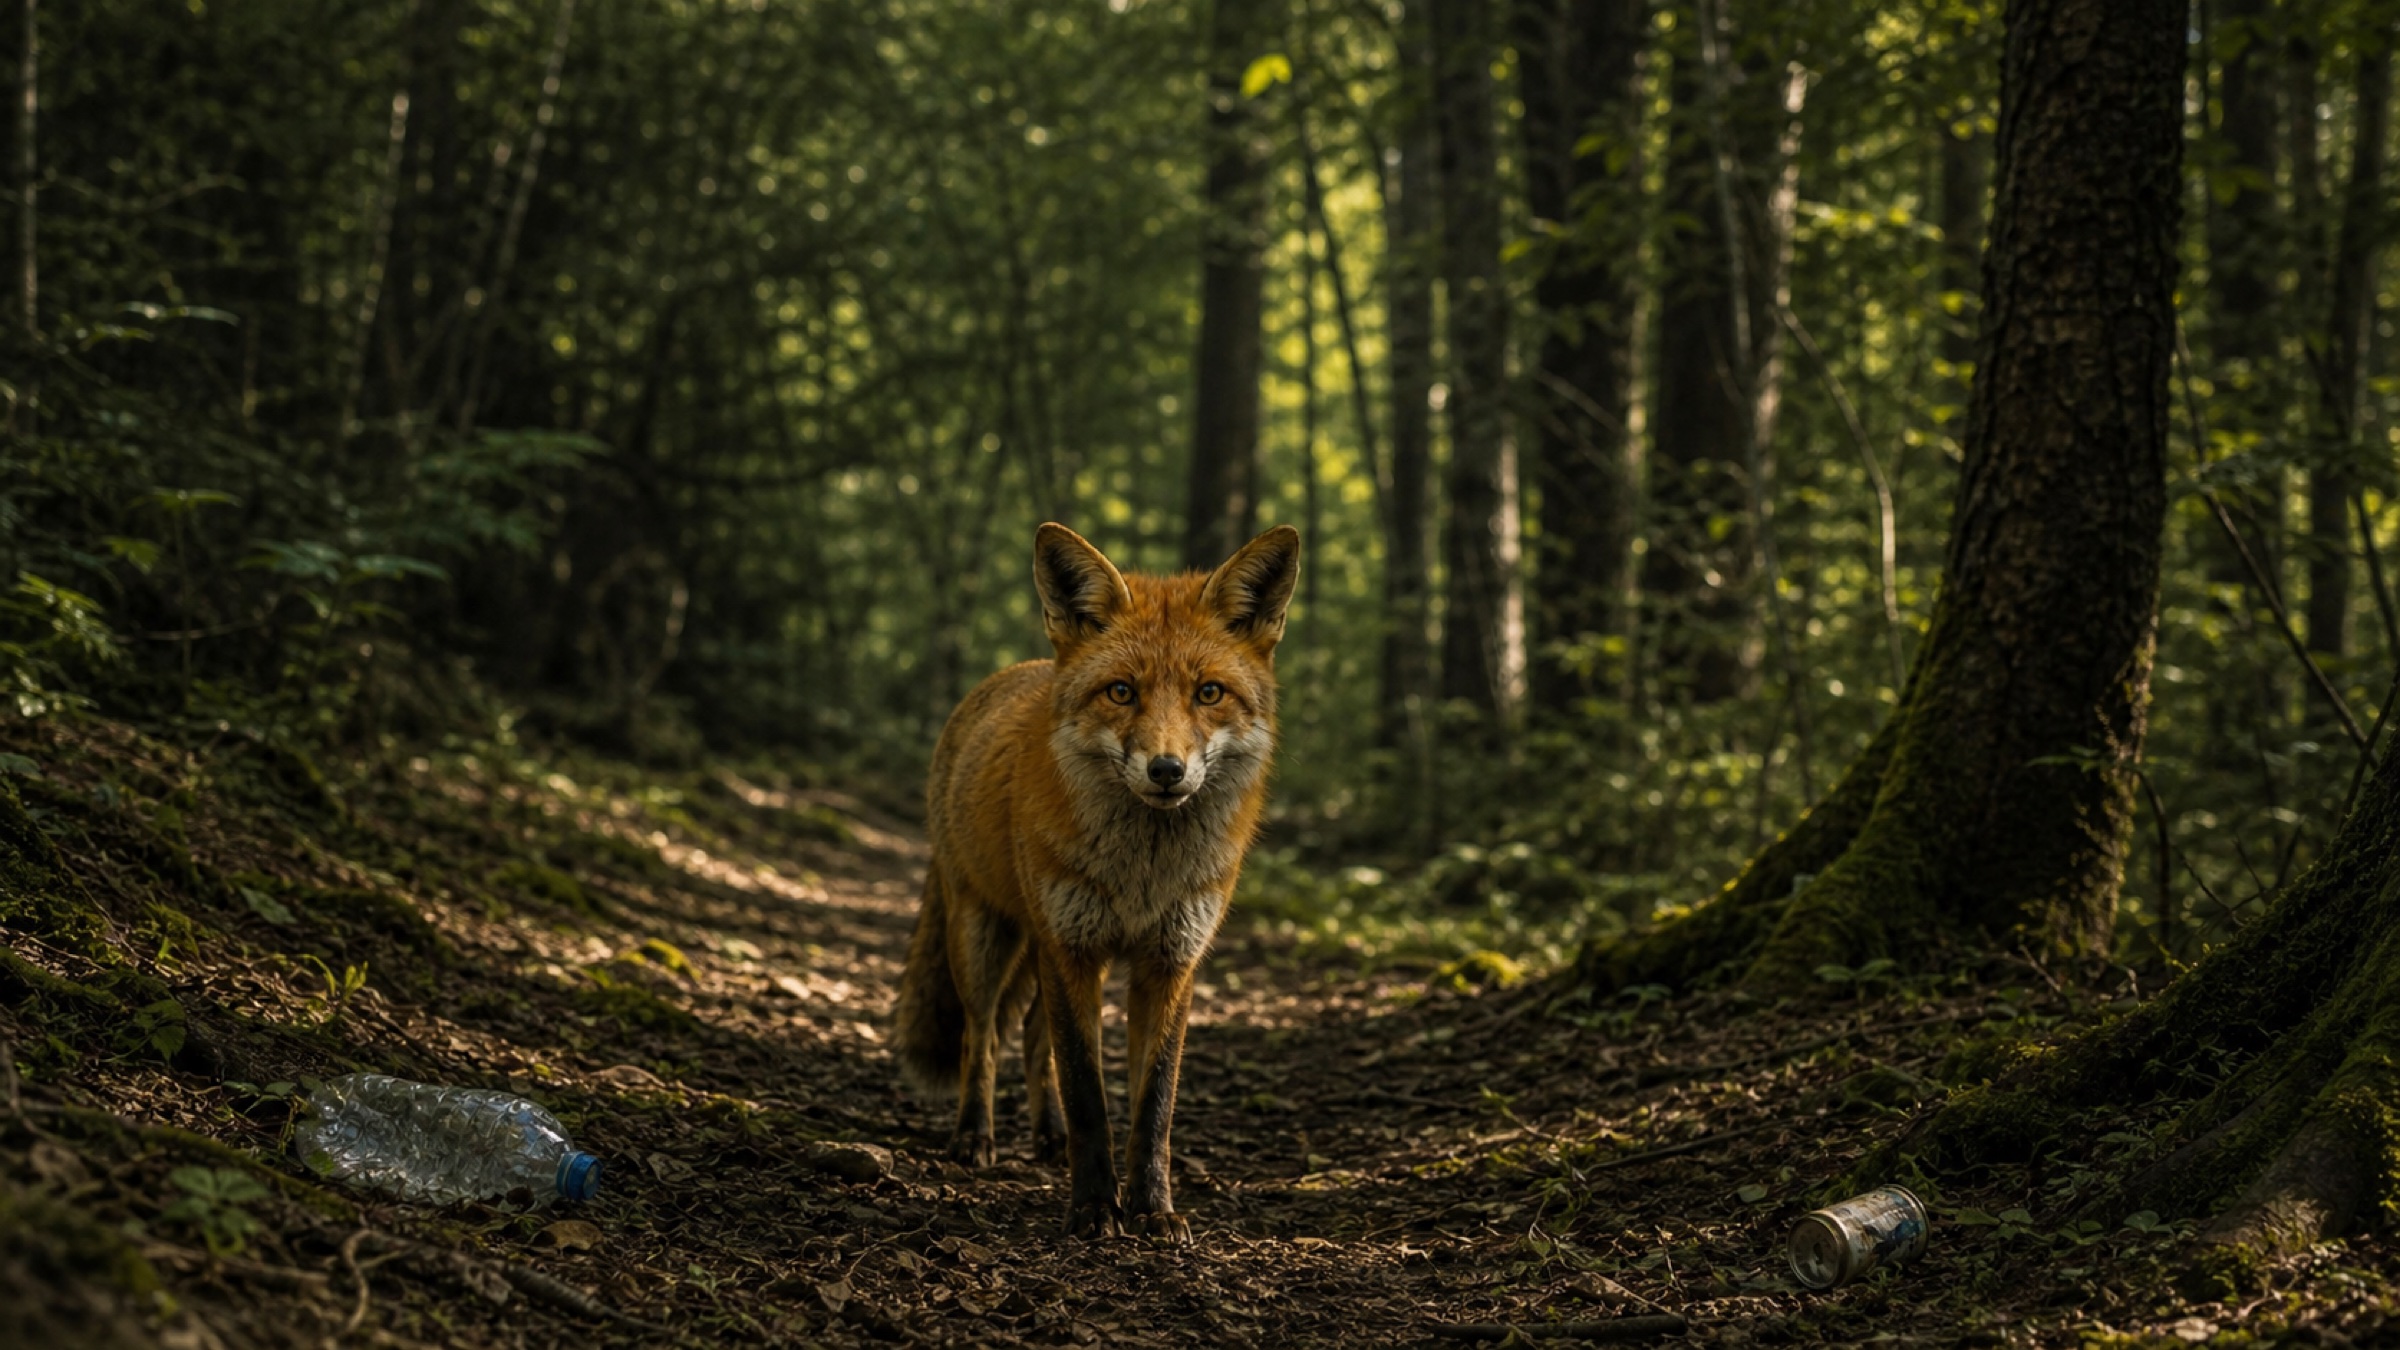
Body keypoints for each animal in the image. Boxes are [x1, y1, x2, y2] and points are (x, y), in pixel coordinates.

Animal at [892, 521, 1300, 1243]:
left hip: (1039, 949)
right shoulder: (1074, 950)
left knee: (1030, 1035)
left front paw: (1152, 1208)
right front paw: (1091, 1208)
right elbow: (1087, 1092)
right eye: (1121, 691)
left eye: (1208, 693)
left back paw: (1046, 1135)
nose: (1166, 770)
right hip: (985, 937)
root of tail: (1014, 674)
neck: (1143, 875)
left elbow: (1152, 1105)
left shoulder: (1170, 962)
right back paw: (975, 1137)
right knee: (981, 1037)